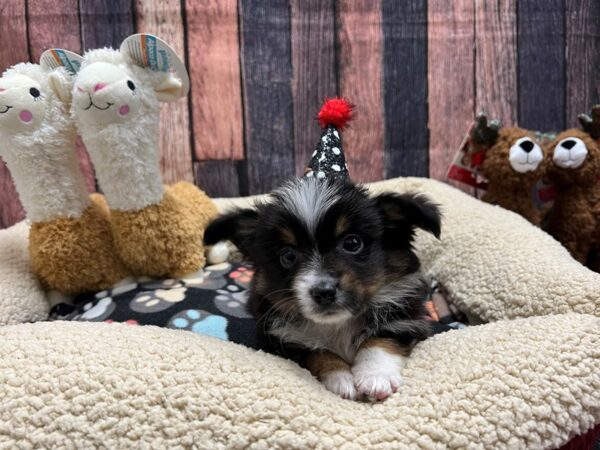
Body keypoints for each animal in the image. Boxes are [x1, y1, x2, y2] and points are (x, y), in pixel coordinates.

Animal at [204, 177, 442, 400]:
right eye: (287, 256)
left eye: (352, 243)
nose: (323, 292)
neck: (337, 324)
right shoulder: (282, 340)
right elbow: (318, 352)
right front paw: (341, 378)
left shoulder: (405, 318)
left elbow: (379, 340)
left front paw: (375, 377)